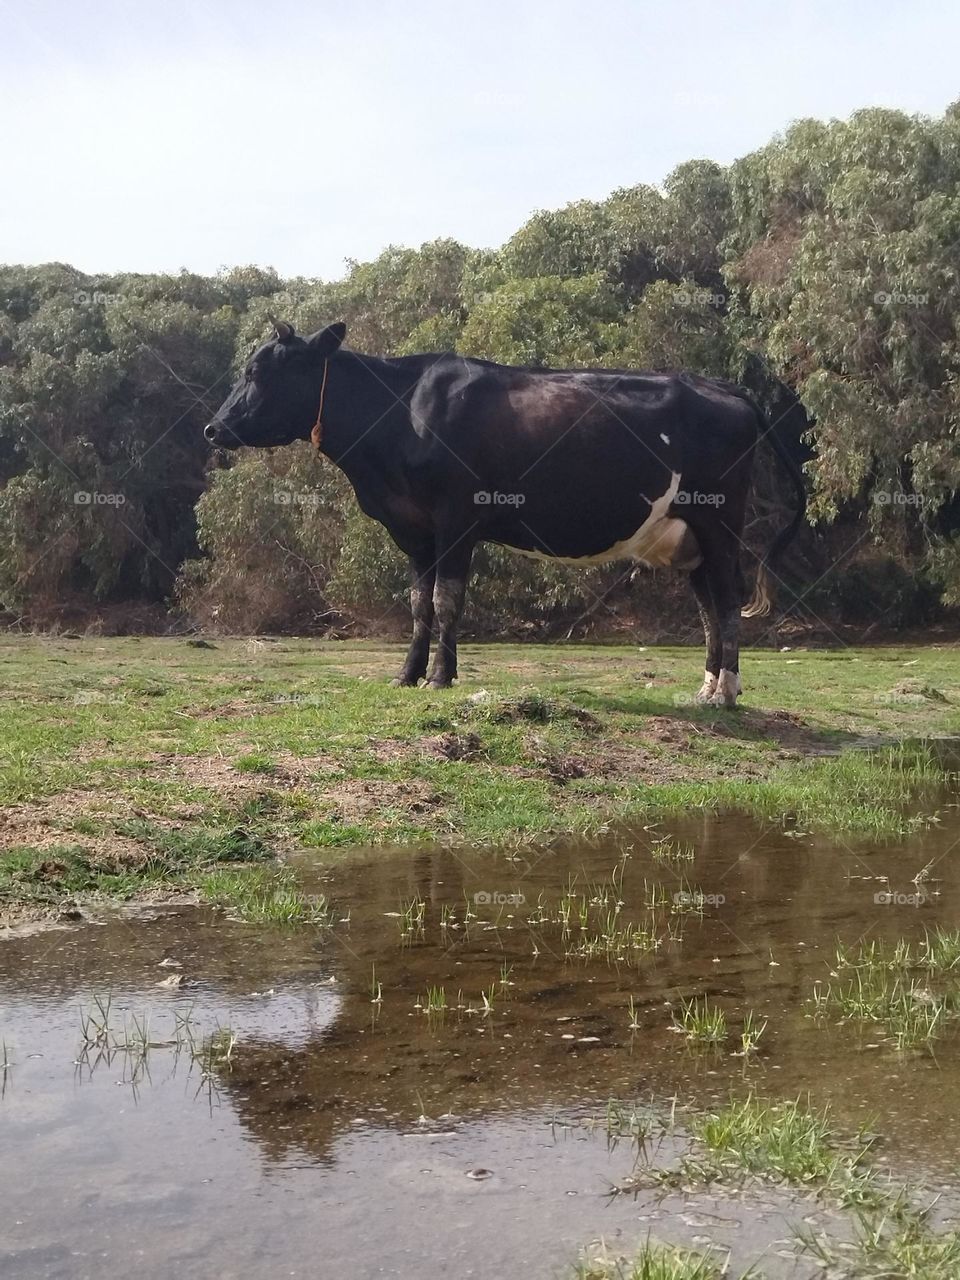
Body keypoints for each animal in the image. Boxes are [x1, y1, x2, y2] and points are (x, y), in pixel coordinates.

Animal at [207, 317, 808, 701]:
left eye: (259, 373)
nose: (214, 428)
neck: (400, 414)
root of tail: (724, 387)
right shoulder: (413, 529)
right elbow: (418, 604)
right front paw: (406, 675)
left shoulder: (456, 519)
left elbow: (447, 601)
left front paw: (440, 678)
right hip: (689, 537)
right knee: (707, 605)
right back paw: (706, 688)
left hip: (721, 522)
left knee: (726, 602)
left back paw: (726, 693)